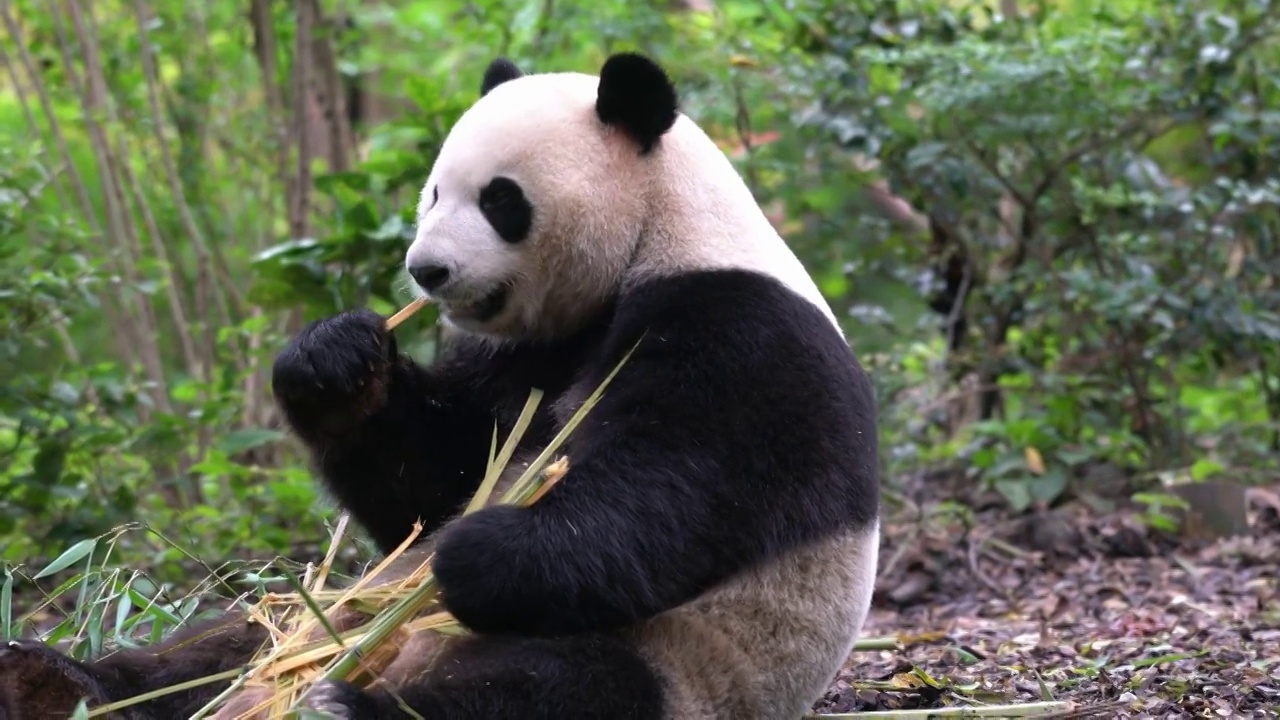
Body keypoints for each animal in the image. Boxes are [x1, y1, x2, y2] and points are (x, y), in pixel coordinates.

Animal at [0, 51, 875, 717]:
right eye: (431, 192)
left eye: (500, 200)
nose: (427, 270)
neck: (657, 233)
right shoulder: (528, 353)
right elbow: (430, 481)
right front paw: (333, 362)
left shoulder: (740, 327)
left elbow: (672, 494)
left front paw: (473, 552)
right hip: (318, 612)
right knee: (228, 638)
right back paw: (59, 678)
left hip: (683, 663)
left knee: (552, 690)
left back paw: (343, 705)